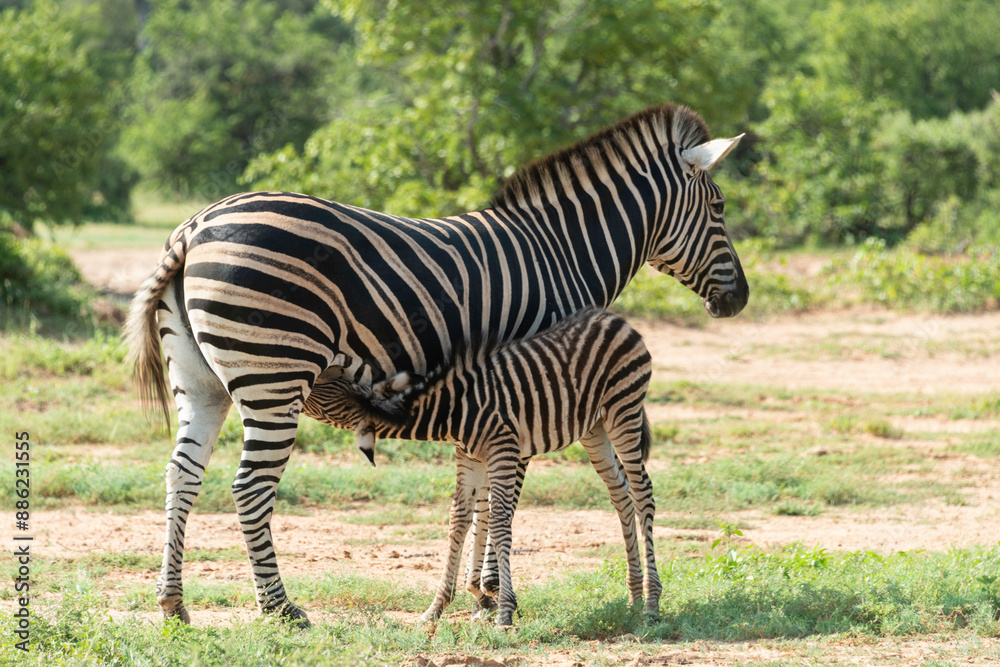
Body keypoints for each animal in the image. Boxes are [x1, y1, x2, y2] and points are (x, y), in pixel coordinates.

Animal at [303, 307, 658, 626]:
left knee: (643, 493)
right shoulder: (469, 457)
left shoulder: (503, 450)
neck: (453, 412)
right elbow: (458, 519)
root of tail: (615, 319)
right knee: (621, 495)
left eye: (326, 391)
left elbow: (499, 521)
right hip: (594, 428)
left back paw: (651, 603)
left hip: (623, 411)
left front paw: (505, 610)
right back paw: (633, 596)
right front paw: (436, 608)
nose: (305, 377)